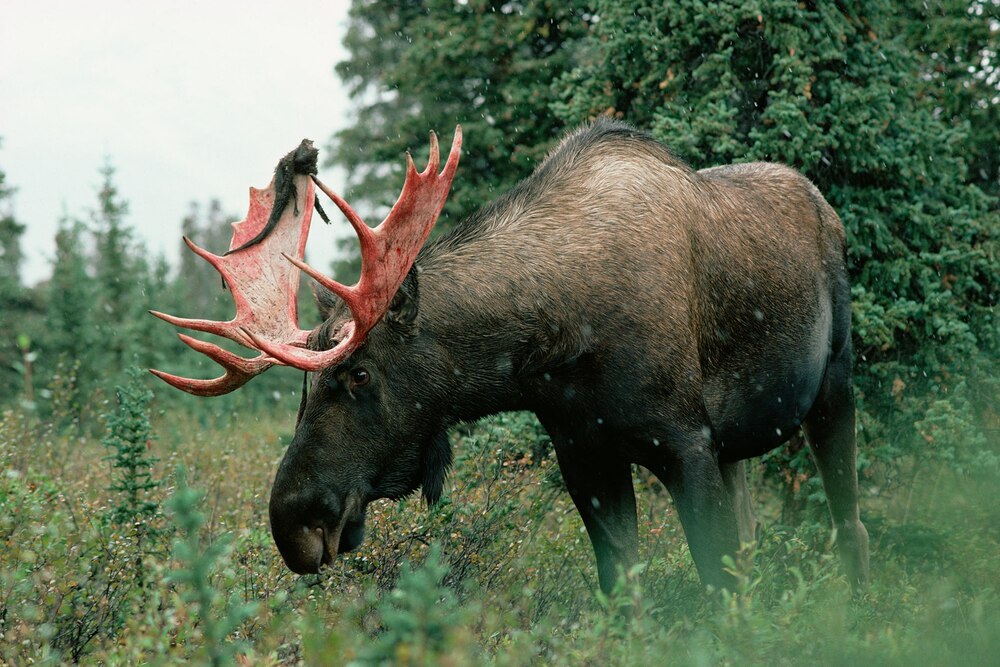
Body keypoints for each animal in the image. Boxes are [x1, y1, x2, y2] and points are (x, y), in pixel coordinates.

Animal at [148, 121, 868, 596]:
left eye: (358, 373)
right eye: (301, 390)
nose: (293, 521)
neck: (553, 349)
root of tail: (826, 206)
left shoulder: (684, 441)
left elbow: (714, 585)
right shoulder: (585, 453)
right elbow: (622, 585)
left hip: (833, 381)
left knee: (847, 518)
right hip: (736, 449)